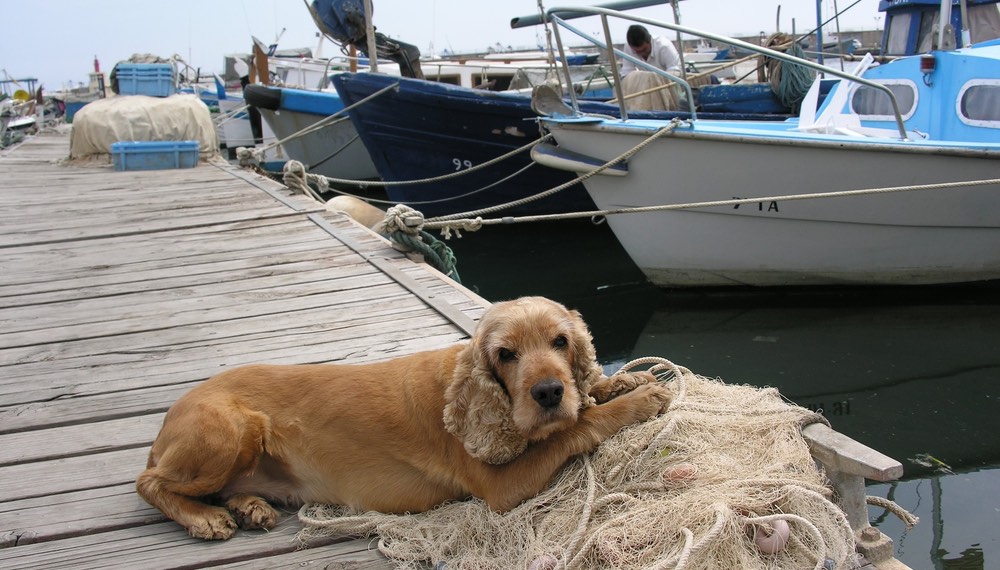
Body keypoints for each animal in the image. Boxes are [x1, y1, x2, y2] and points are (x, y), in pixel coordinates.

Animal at [135, 296, 672, 540]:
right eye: (505, 354)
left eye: (561, 341)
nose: (548, 392)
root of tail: (166, 423)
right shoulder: (501, 485)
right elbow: (575, 428)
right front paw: (639, 400)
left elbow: (583, 404)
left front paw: (615, 383)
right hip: (229, 429)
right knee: (149, 483)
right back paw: (206, 518)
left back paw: (250, 507)